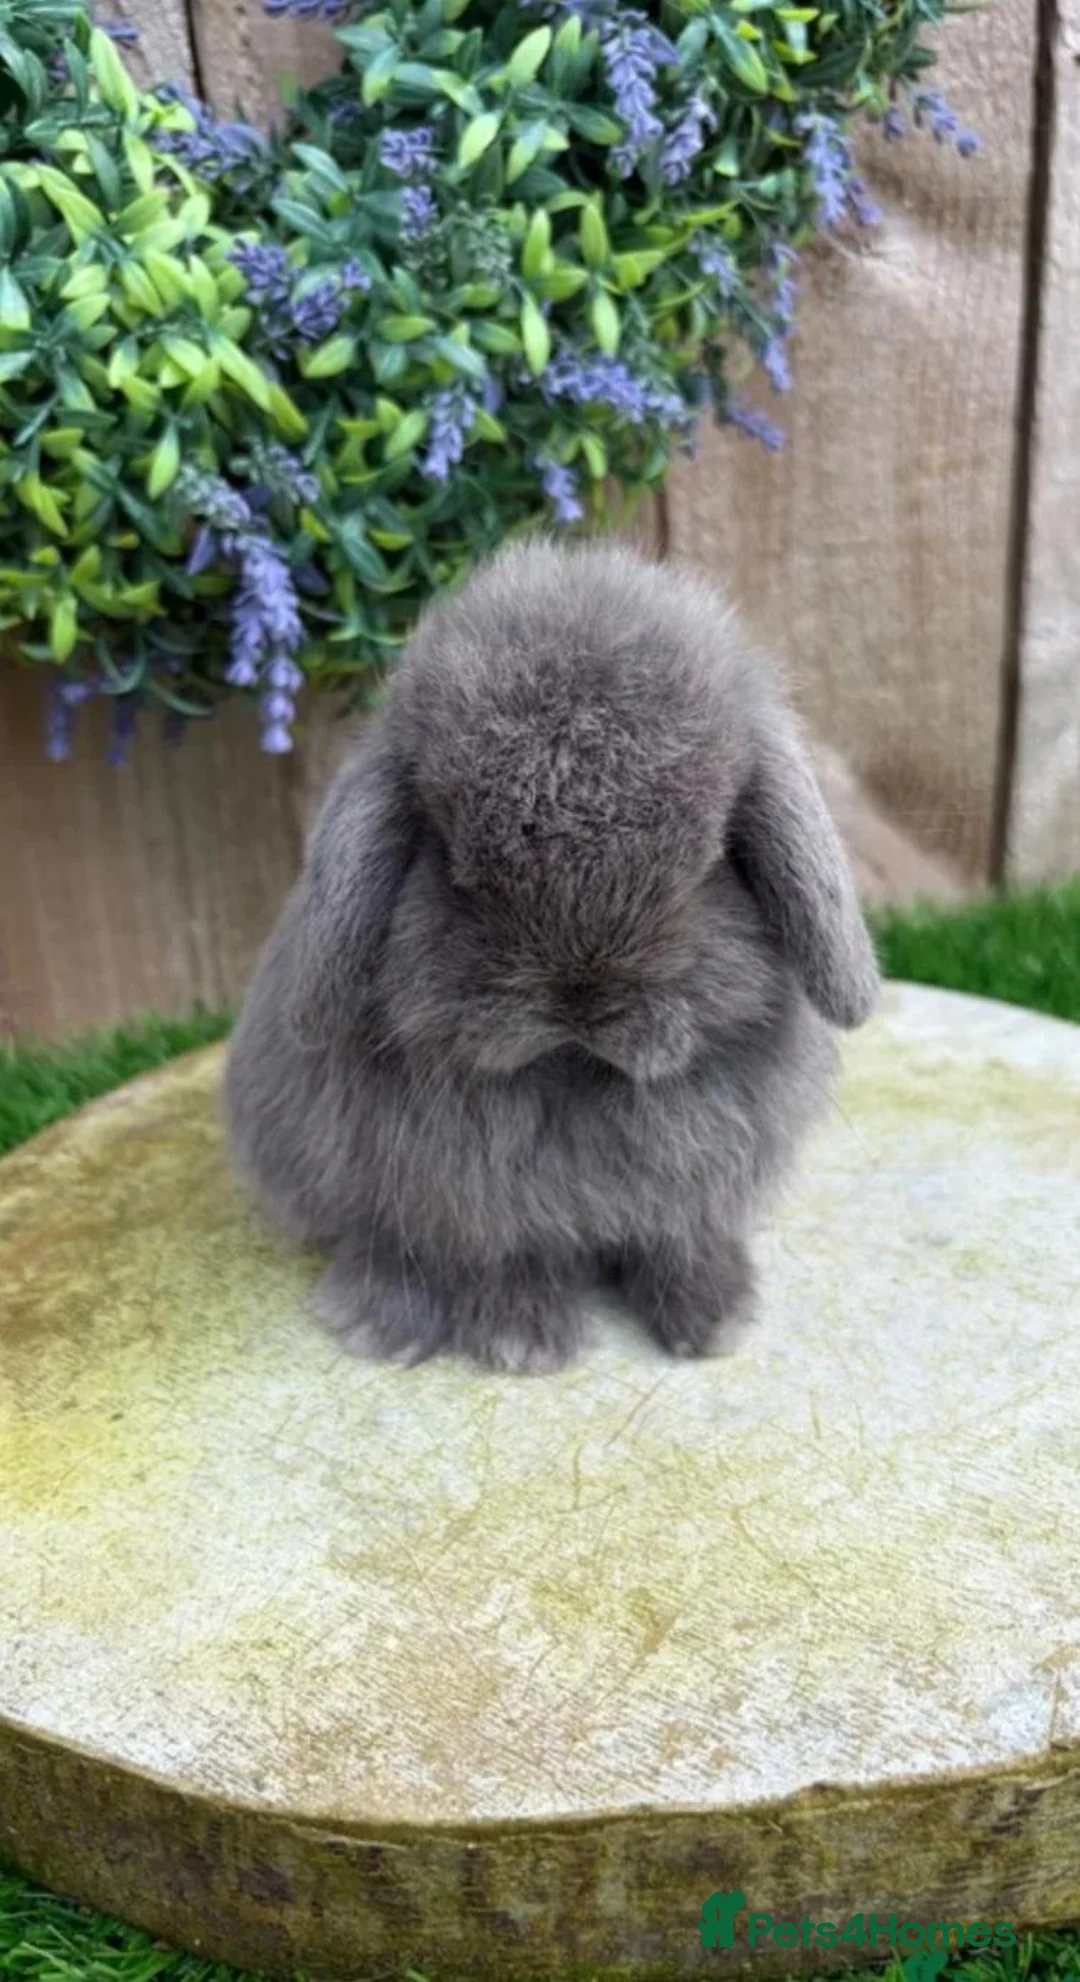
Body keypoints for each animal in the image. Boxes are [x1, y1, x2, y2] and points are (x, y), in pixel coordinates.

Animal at [224, 539, 879, 1374]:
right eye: (453, 866)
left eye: (705, 863)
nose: (580, 999)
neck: (573, 1076)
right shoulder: (481, 1204)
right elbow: (512, 1258)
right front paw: (524, 1342)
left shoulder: (686, 1194)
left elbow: (677, 1241)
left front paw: (713, 1319)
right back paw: (385, 1327)